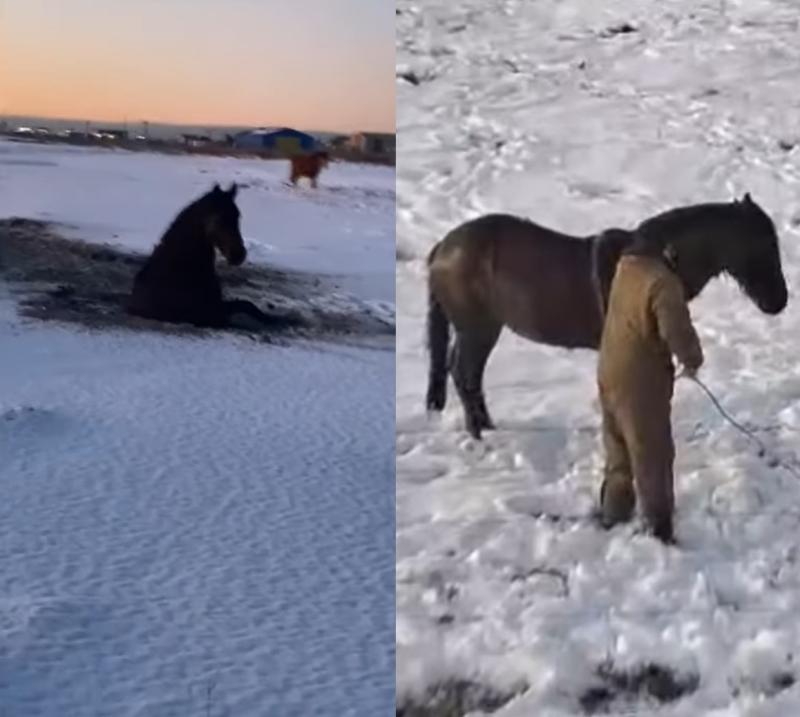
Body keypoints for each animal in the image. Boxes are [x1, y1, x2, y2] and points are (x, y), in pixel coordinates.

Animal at [127, 183, 299, 330]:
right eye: (220, 218)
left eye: (238, 216)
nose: (239, 254)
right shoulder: (213, 315)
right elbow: (243, 307)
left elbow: (248, 305)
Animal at [425, 194, 789, 439]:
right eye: (764, 245)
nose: (780, 301)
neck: (652, 259)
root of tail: (443, 247)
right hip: (477, 329)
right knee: (463, 373)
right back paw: (478, 434)